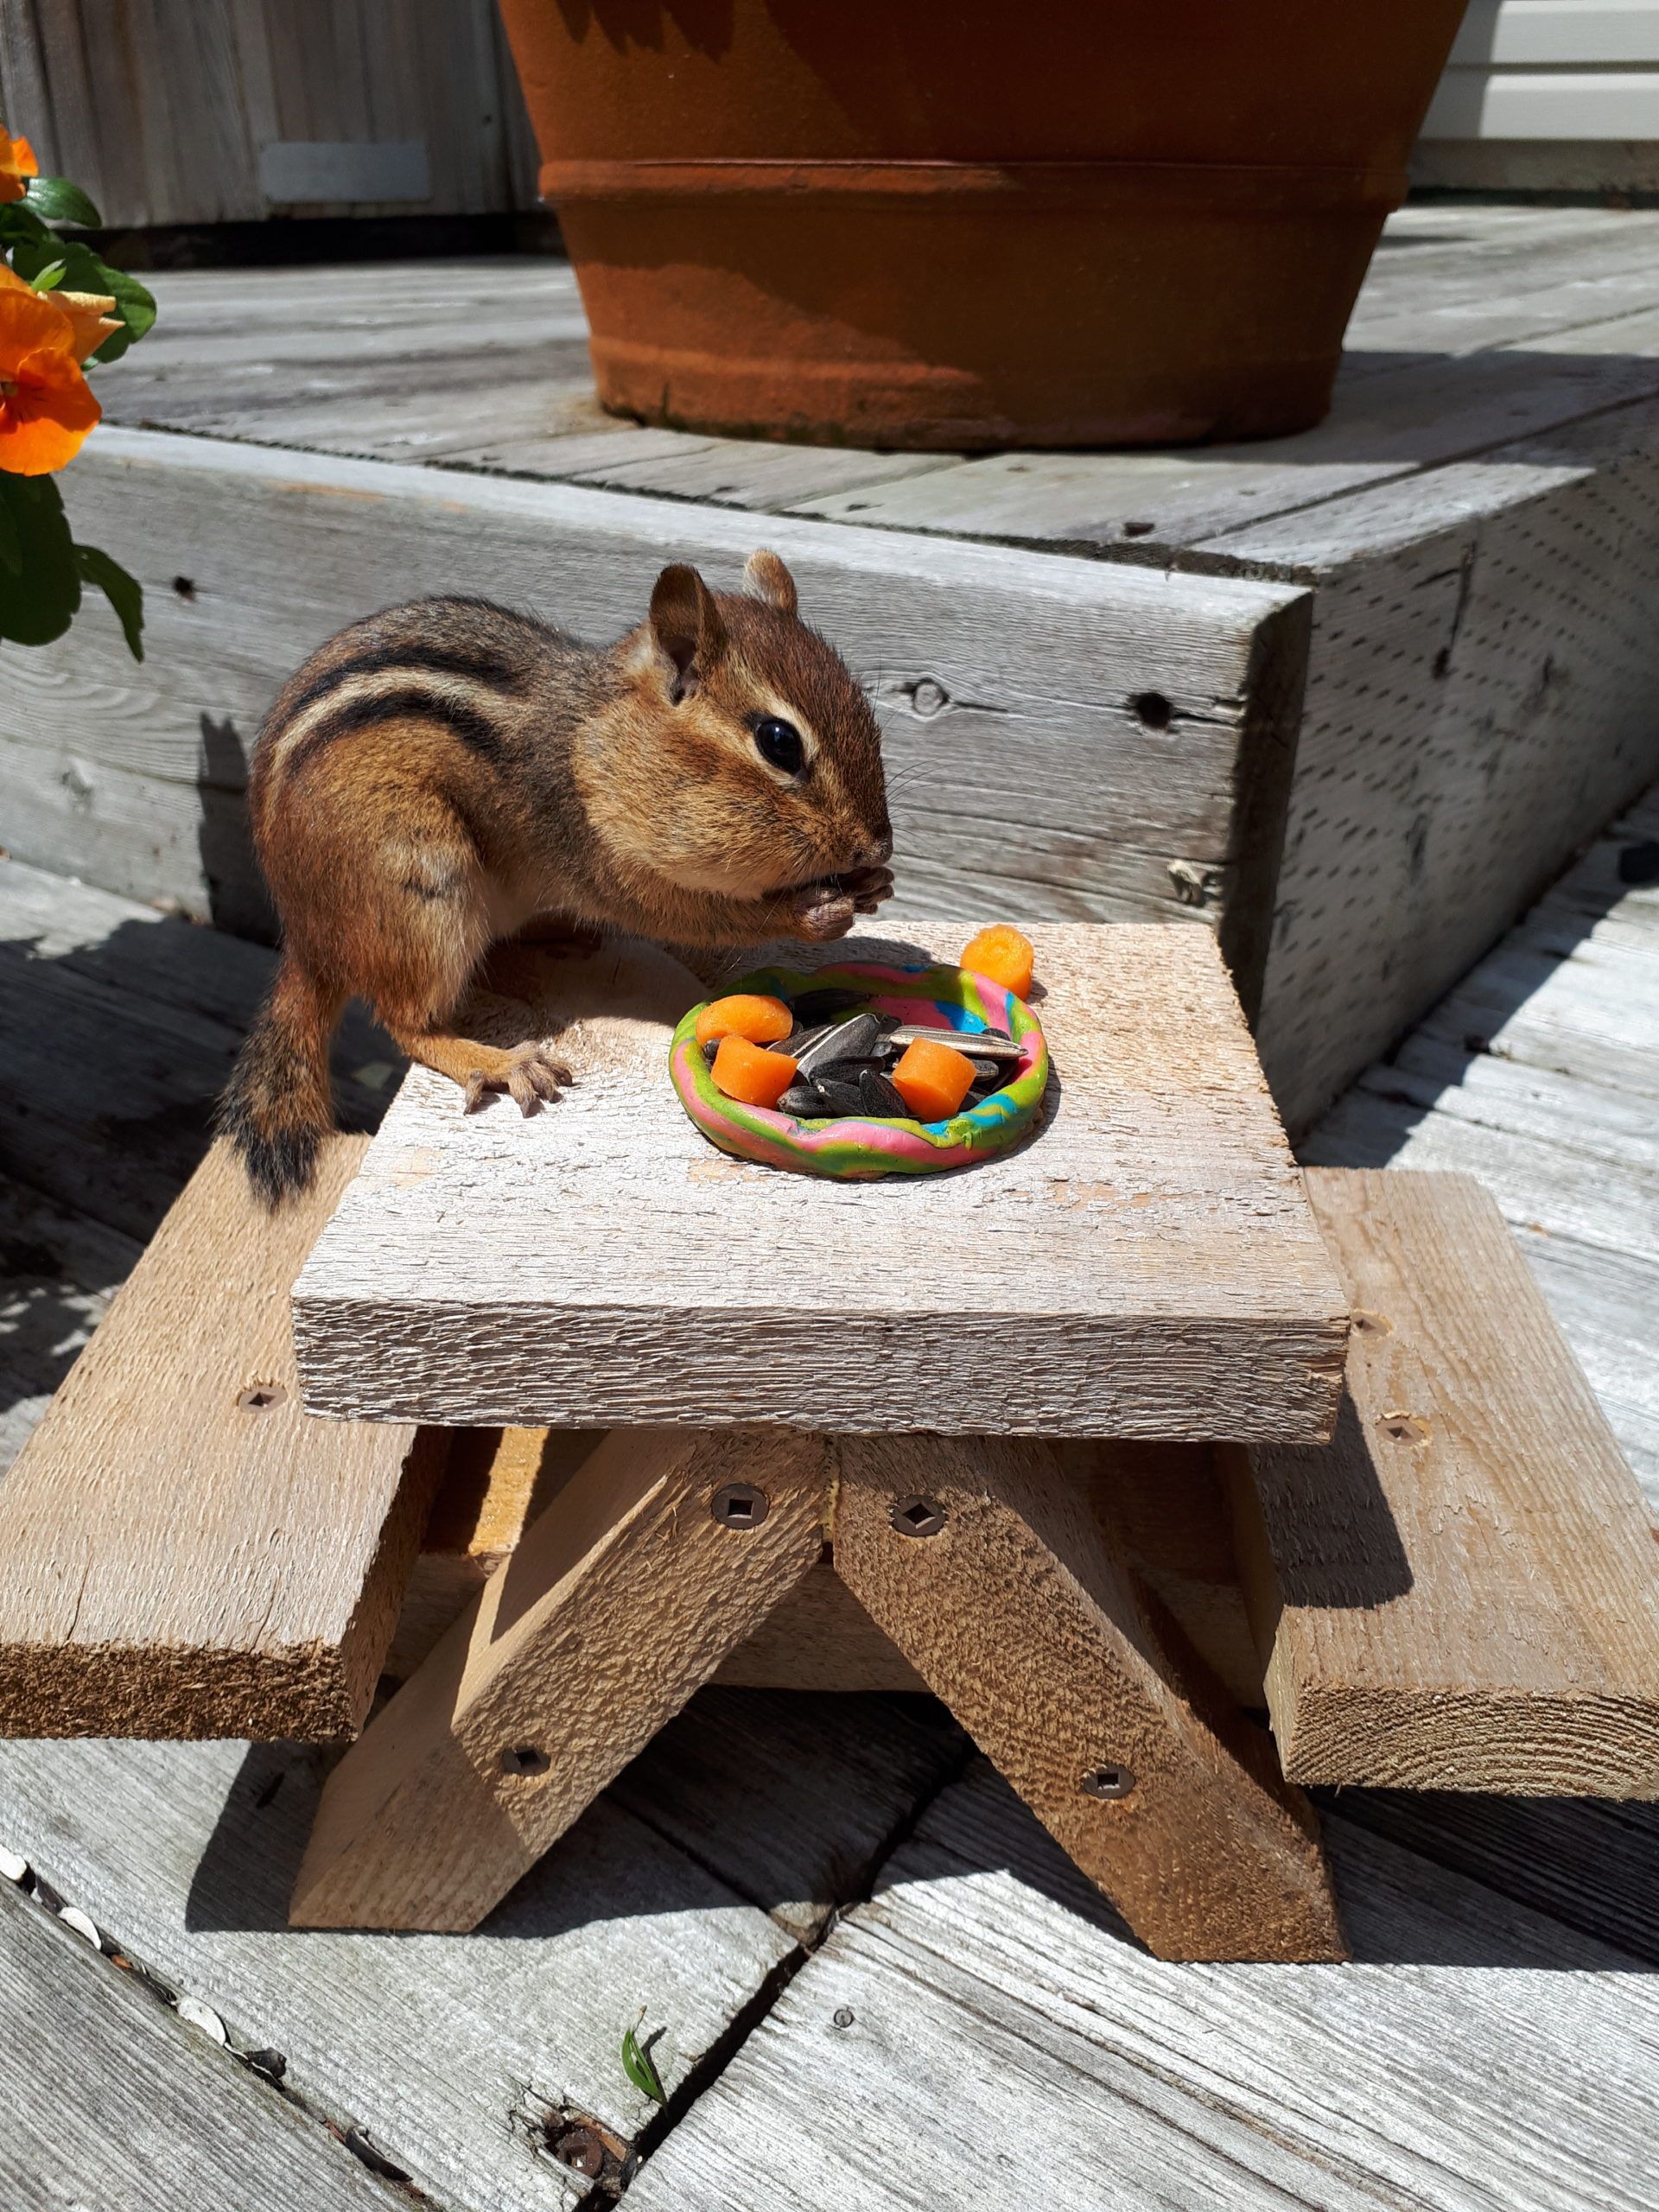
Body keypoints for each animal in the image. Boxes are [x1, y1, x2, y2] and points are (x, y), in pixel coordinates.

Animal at [218, 549, 894, 1206]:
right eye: (779, 741)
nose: (877, 844)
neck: (598, 742)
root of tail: (308, 940)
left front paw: (873, 884)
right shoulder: (605, 858)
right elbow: (700, 916)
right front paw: (812, 913)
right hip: (423, 894)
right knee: (407, 1023)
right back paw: (496, 1059)